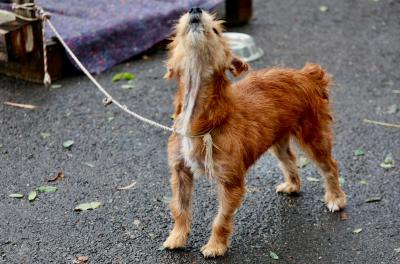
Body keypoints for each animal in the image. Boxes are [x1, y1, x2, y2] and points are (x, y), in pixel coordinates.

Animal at [161, 7, 346, 258]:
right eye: (179, 30)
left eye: (217, 30)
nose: (195, 9)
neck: (207, 118)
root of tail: (306, 75)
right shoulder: (180, 172)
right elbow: (180, 208)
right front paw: (177, 237)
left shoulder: (231, 183)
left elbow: (220, 219)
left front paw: (215, 246)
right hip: (279, 140)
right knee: (290, 160)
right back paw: (292, 185)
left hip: (313, 136)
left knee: (329, 167)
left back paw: (335, 198)